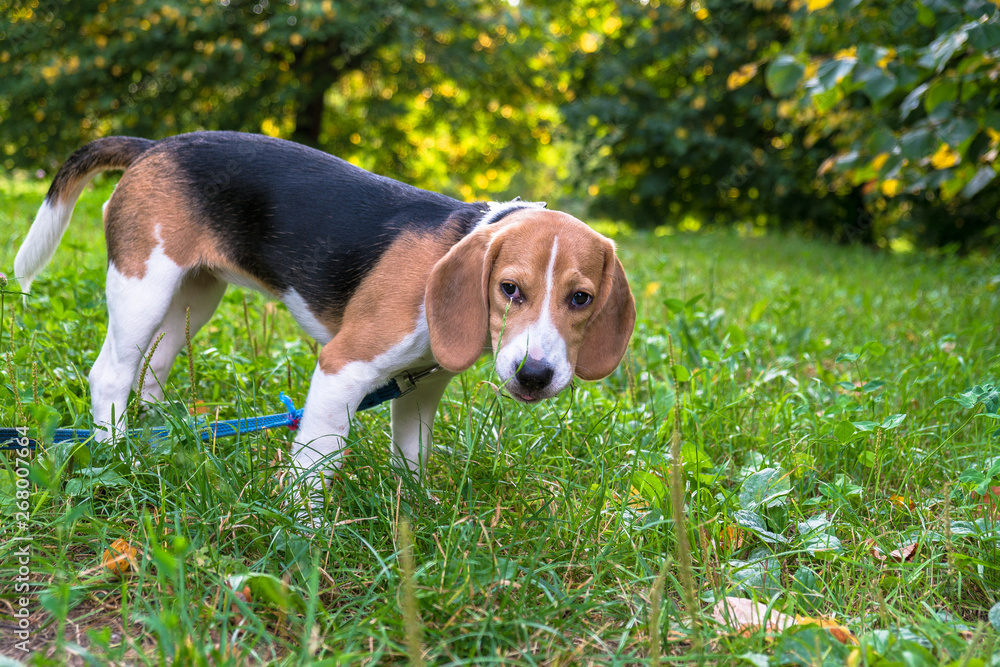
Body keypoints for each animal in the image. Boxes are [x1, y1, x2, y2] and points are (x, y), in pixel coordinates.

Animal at [11, 129, 636, 486]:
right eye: (510, 289)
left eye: (581, 299)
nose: (535, 375)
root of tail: (154, 148)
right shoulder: (344, 368)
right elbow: (316, 463)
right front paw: (301, 530)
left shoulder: (422, 386)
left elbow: (411, 454)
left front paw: (415, 508)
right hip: (143, 287)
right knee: (111, 375)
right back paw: (119, 456)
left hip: (194, 295)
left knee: (153, 371)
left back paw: (169, 435)